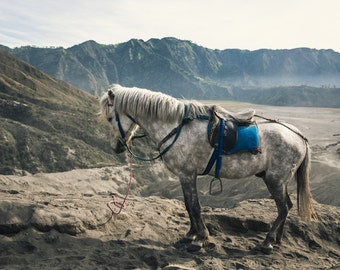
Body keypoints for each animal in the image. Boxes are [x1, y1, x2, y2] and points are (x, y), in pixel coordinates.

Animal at [99, 84, 316, 253]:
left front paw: (201, 238)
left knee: (283, 207)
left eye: (109, 118)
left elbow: (195, 206)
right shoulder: (184, 176)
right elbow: (188, 205)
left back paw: (268, 242)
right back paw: (277, 239)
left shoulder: (187, 175)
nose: (116, 147)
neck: (176, 128)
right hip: (276, 179)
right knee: (287, 206)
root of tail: (299, 136)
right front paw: (190, 234)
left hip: (275, 180)